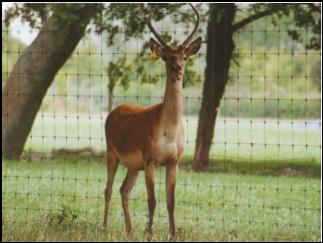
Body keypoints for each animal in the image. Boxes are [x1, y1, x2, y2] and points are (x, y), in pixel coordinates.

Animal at [102, 3, 201, 241]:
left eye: (185, 56)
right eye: (167, 57)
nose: (178, 68)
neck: (169, 132)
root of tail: (113, 111)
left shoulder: (174, 162)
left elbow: (171, 201)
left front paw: (173, 235)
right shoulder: (150, 159)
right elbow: (152, 200)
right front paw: (149, 234)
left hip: (133, 166)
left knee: (123, 190)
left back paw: (129, 231)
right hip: (111, 152)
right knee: (108, 189)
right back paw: (105, 228)